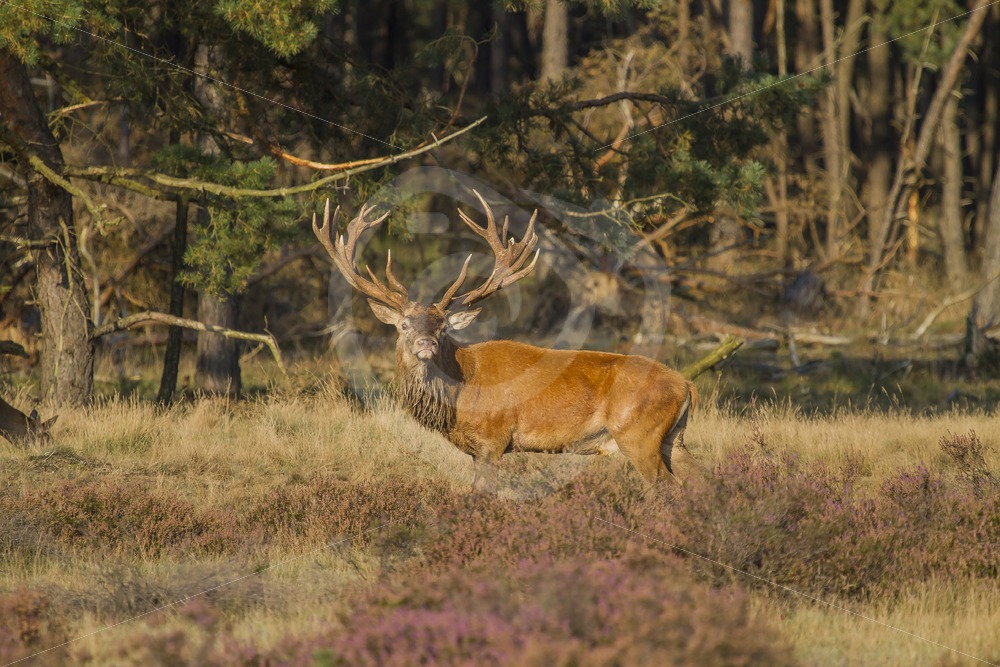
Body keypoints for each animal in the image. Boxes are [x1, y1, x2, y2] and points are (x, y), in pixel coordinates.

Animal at [314, 191, 698, 486]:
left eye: (443, 327)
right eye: (405, 325)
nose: (426, 344)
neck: (460, 398)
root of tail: (686, 386)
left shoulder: (493, 440)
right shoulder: (474, 450)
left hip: (639, 435)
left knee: (667, 488)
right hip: (672, 440)